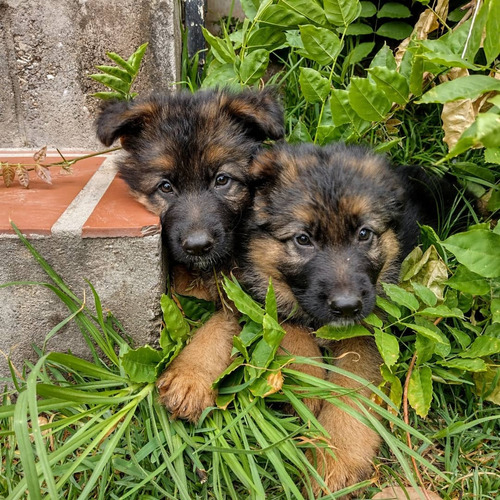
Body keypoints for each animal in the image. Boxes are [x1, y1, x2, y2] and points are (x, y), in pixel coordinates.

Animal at [95, 89, 284, 422]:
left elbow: (217, 329)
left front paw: (189, 378)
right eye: (165, 186)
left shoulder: (241, 294)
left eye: (222, 180)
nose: (197, 246)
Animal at [243, 142, 454, 496]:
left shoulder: (367, 333)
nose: (346, 307)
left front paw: (335, 462)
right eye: (303, 239)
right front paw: (310, 390)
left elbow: (351, 393)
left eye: (364, 234)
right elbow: (291, 332)